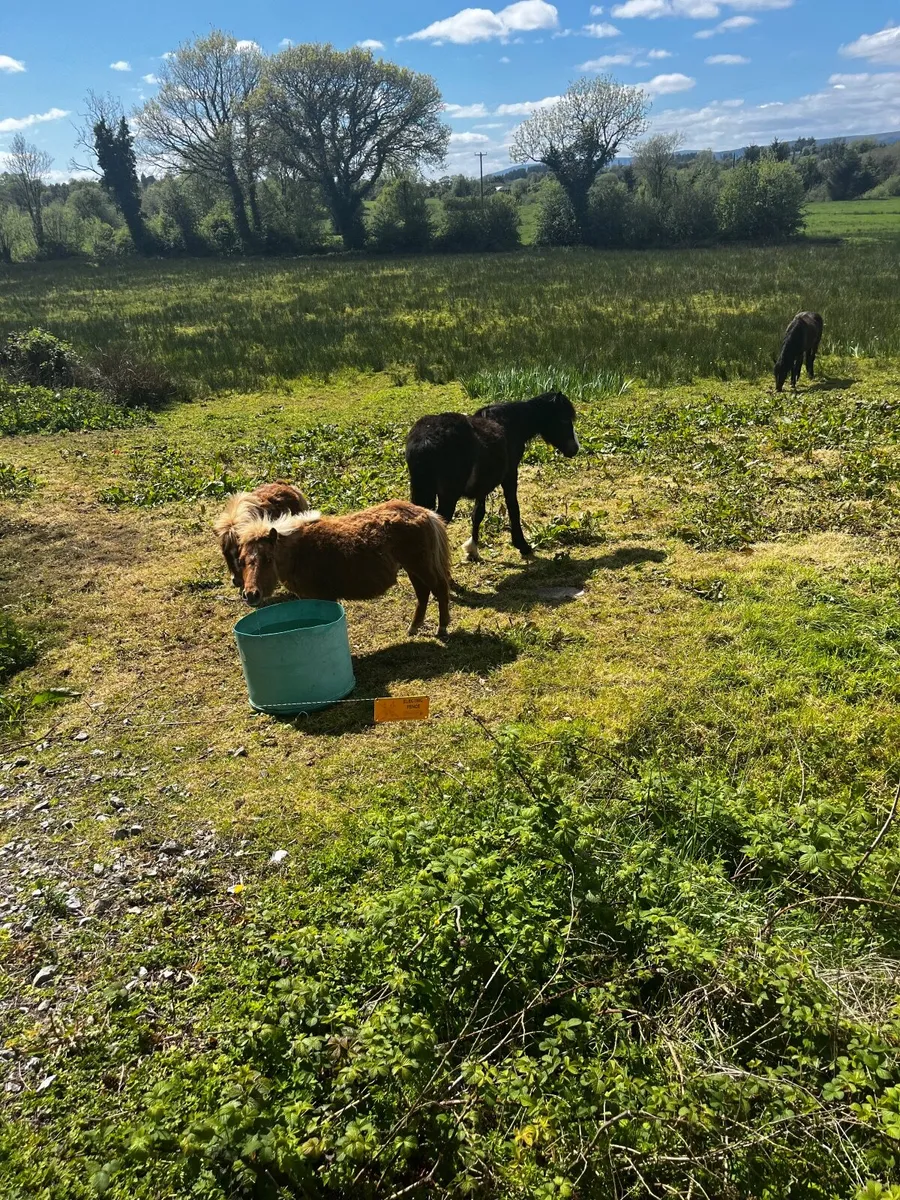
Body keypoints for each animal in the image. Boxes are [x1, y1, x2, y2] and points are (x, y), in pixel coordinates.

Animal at [236, 500, 452, 638]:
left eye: (268, 559)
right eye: (242, 560)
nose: (251, 594)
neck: (299, 550)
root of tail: (425, 513)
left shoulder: (324, 597)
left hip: (421, 566)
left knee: (440, 589)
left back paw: (442, 628)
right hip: (413, 569)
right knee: (423, 594)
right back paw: (413, 628)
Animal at [405, 391, 579, 563]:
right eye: (564, 419)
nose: (575, 449)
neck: (509, 425)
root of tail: (425, 441)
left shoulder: (482, 486)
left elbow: (478, 514)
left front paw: (472, 550)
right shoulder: (510, 475)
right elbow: (513, 507)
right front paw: (522, 545)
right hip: (448, 497)